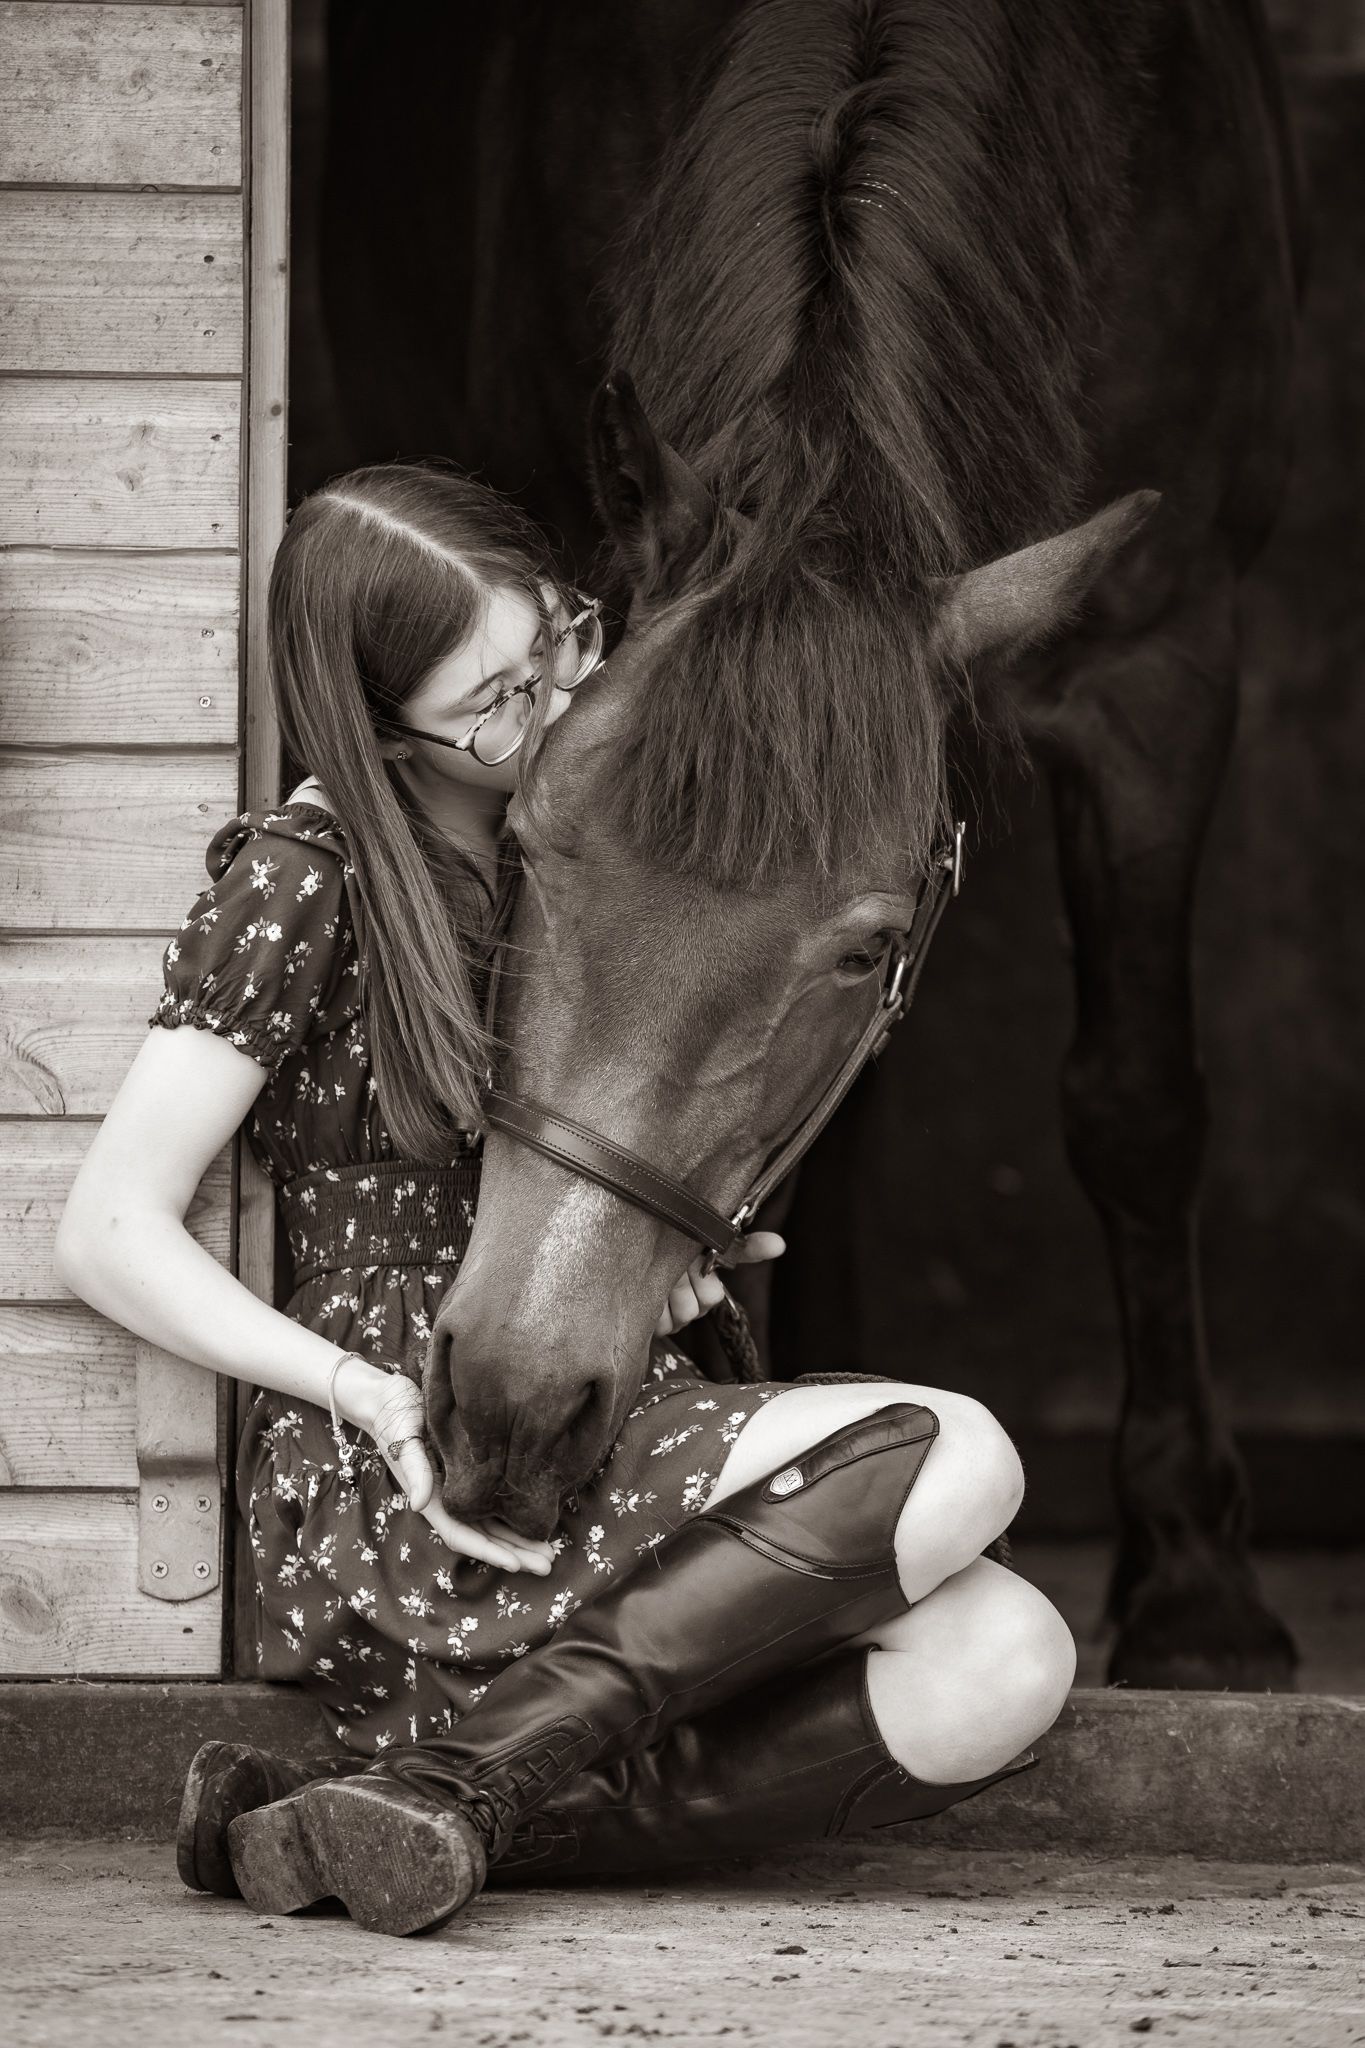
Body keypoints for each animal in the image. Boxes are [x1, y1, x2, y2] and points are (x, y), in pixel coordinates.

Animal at [321, 0, 1302, 1688]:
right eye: (529, 846)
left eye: (863, 948)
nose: (513, 1402)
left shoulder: (1161, 660)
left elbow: (1139, 1108)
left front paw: (1193, 1589)